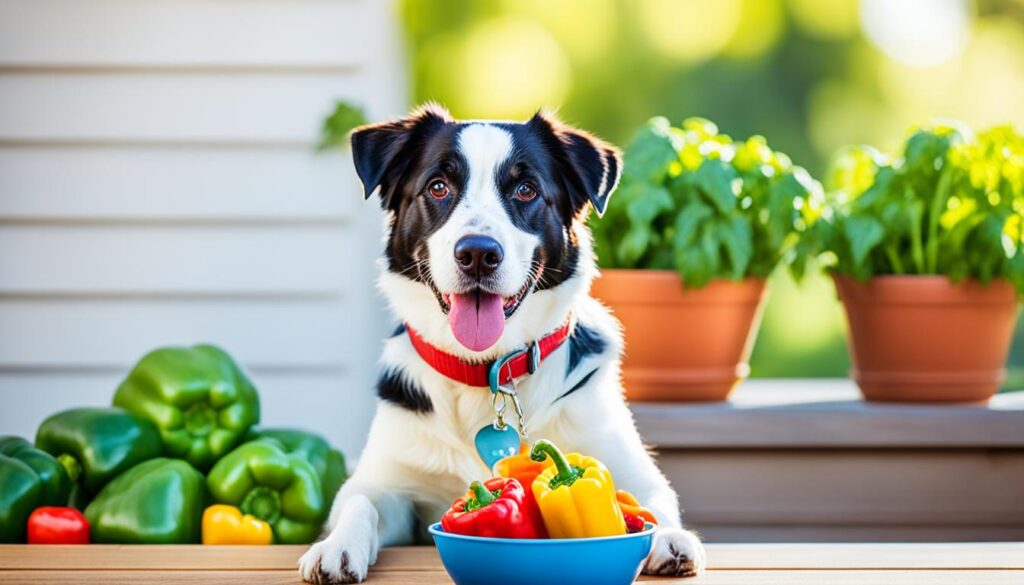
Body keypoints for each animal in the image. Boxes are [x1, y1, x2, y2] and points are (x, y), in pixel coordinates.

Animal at [299, 102, 708, 581]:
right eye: (438, 187)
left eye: (526, 190)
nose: (477, 253)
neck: (484, 370)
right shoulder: (388, 481)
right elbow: (359, 500)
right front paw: (336, 546)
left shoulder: (631, 470)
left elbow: (652, 503)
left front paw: (670, 537)